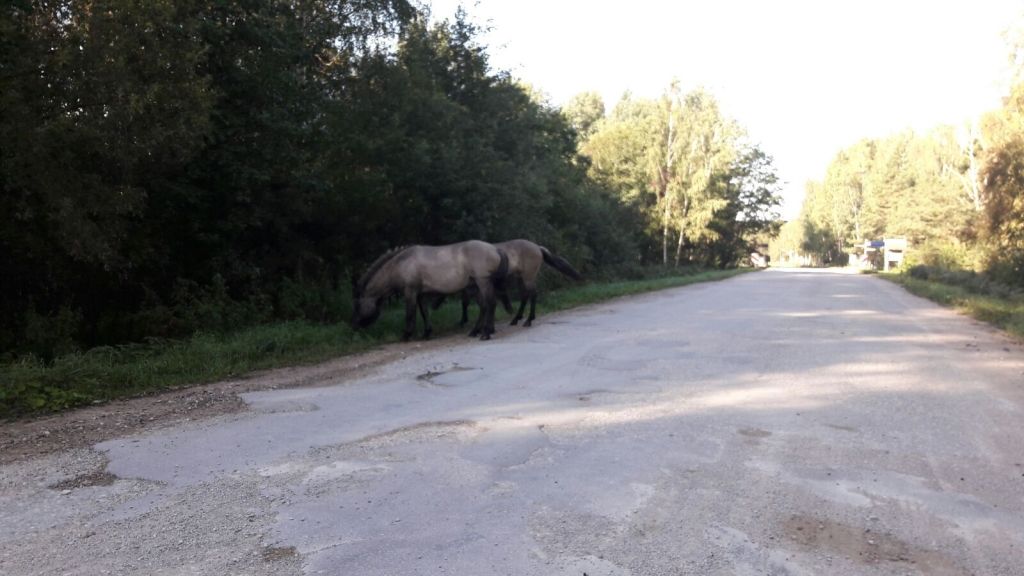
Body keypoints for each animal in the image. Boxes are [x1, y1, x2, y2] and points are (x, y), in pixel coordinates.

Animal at [354, 238, 509, 338]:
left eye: (357, 305)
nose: (355, 325)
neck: (401, 264)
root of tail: (495, 249)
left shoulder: (410, 292)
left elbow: (410, 314)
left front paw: (406, 335)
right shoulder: (421, 294)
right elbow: (424, 312)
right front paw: (427, 333)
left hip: (483, 282)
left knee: (490, 304)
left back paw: (486, 333)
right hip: (474, 286)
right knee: (484, 306)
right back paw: (476, 331)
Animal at [452, 238, 581, 327]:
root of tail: (537, 247)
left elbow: (466, 302)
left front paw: (463, 321)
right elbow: (465, 302)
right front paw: (463, 321)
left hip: (528, 278)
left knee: (532, 295)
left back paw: (528, 320)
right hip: (520, 278)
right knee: (524, 296)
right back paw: (516, 318)